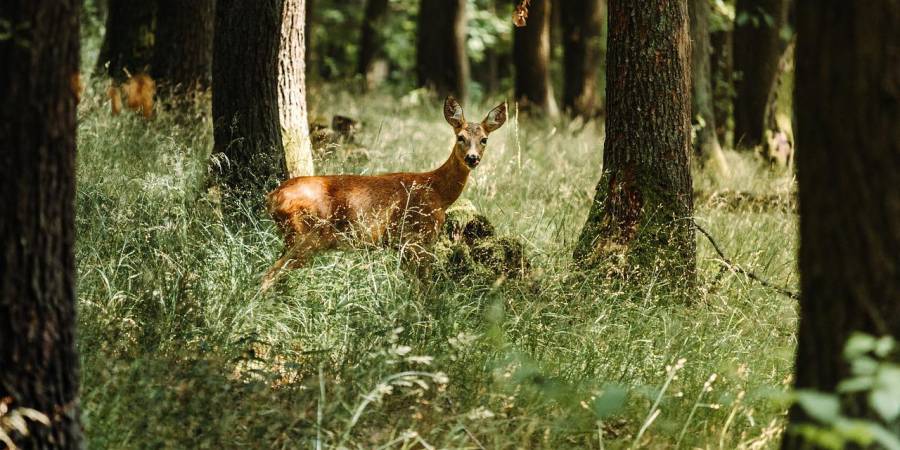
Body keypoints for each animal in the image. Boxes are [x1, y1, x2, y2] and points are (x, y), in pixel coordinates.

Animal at [262, 96, 506, 290]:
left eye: (484, 139)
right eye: (460, 137)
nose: (472, 158)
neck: (438, 191)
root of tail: (272, 197)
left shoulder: (403, 245)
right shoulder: (414, 239)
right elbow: (424, 288)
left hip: (295, 237)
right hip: (305, 236)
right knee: (269, 275)